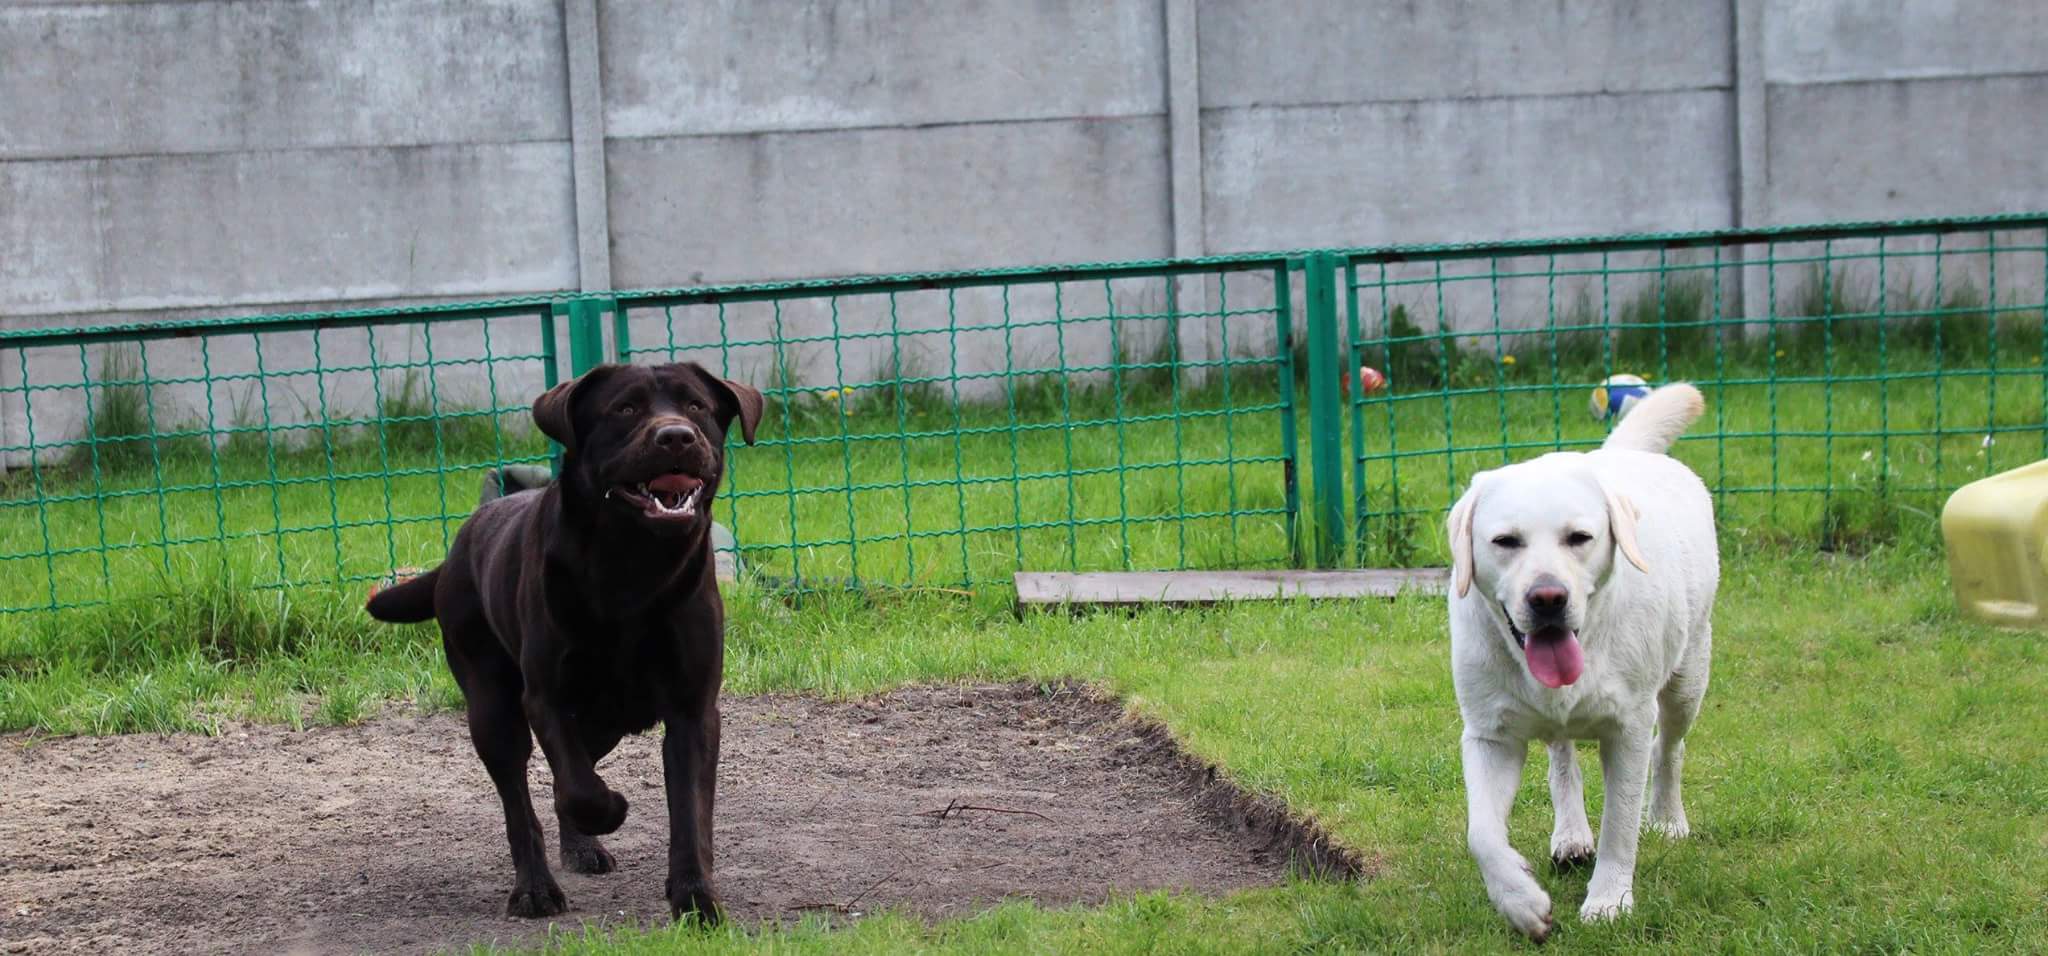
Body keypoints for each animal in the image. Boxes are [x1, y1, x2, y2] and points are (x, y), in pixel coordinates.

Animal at [365, 361, 762, 922]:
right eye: (625, 408)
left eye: (696, 407)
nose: (676, 436)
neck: (634, 566)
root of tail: (458, 547)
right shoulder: (546, 698)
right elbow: (577, 789)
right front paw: (610, 811)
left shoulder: (693, 708)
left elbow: (689, 812)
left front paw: (695, 900)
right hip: (493, 709)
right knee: (522, 802)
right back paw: (534, 889)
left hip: (603, 721)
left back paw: (580, 850)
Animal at [1445, 383, 1715, 940]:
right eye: (1505, 541)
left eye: (1579, 538)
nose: (1548, 597)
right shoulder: (1488, 736)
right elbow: (1481, 833)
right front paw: (1520, 901)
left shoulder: (1628, 727)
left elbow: (1621, 823)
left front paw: (1610, 900)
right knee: (1562, 759)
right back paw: (1570, 834)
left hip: (1687, 678)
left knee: (1669, 748)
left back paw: (1667, 817)